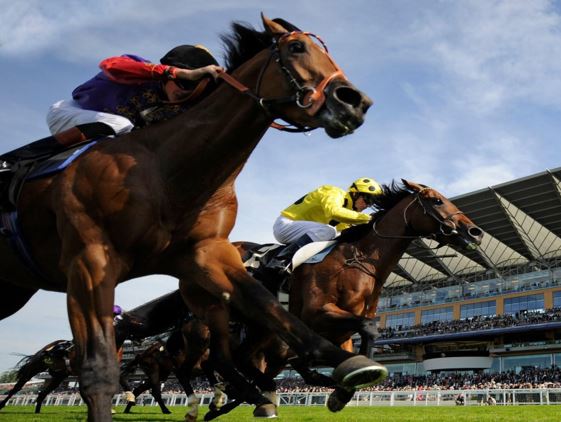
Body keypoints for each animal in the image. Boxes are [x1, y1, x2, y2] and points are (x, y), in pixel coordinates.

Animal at [0, 14, 378, 420]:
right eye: (296, 47)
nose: (357, 102)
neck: (168, 169)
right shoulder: (88, 261)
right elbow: (98, 369)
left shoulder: (205, 253)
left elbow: (272, 309)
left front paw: (347, 365)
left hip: (13, 288)